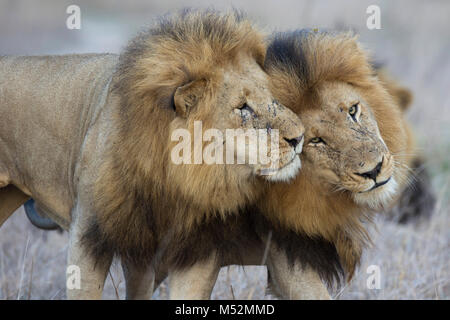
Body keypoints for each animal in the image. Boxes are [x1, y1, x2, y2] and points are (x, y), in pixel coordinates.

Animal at [0, 10, 306, 300]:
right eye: (242, 107)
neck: (170, 177)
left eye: (273, 96)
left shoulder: (192, 252)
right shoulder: (89, 236)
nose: (300, 137)